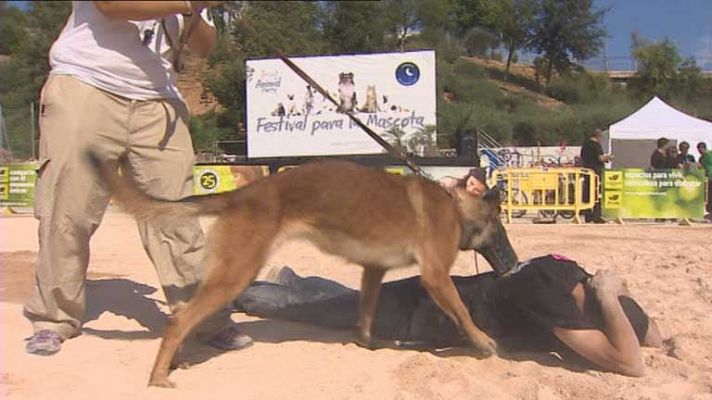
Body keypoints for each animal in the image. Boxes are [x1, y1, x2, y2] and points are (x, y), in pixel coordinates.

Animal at [92, 157, 520, 388]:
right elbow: (462, 311)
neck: (452, 204)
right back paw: (158, 376)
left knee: (181, 315)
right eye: (498, 223)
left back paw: (174, 361)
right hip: (236, 274)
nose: (515, 264)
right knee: (180, 320)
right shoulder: (435, 277)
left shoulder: (373, 271)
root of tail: (241, 194)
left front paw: (369, 343)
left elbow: (366, 314)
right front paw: (483, 342)